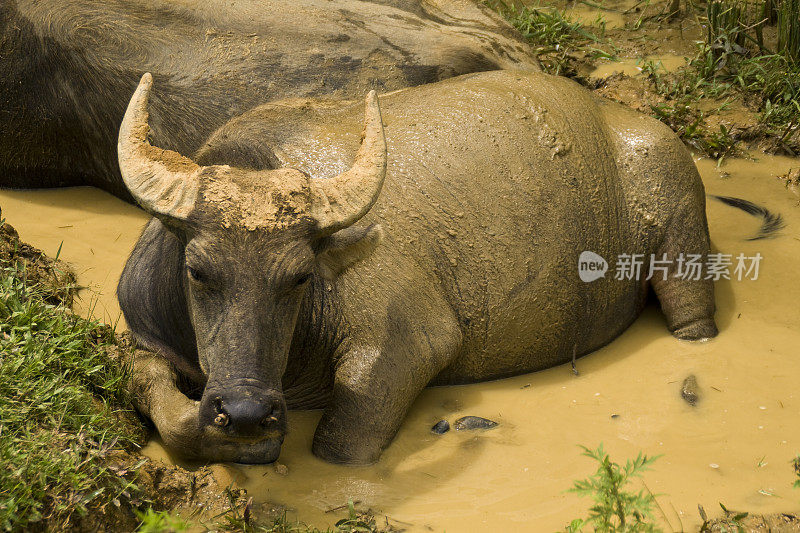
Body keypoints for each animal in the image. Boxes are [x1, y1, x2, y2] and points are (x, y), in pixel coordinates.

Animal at [120, 68, 720, 464]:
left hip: (681, 228)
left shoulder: (407, 345)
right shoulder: (147, 337)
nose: (245, 411)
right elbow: (161, 400)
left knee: (692, 314)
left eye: (299, 276)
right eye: (197, 271)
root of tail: (635, 122)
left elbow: (341, 443)